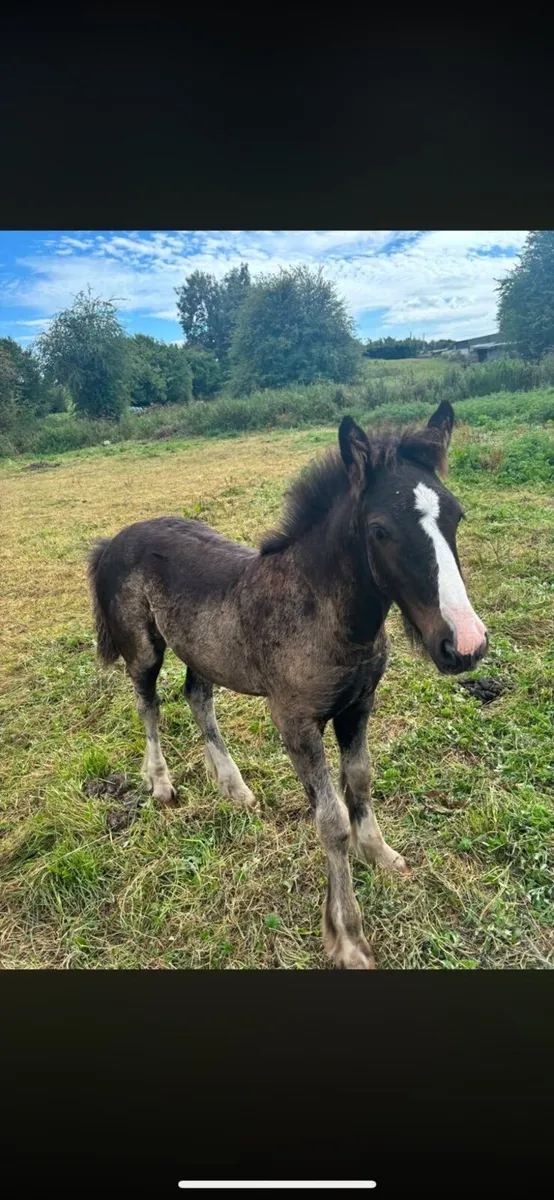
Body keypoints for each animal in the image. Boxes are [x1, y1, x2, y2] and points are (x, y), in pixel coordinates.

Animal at [88, 400, 488, 969]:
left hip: (203, 650)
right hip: (144, 650)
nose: (466, 643)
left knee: (197, 697)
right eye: (380, 530)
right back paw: (161, 784)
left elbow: (360, 780)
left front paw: (381, 854)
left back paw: (235, 787)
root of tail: (113, 540)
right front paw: (348, 937)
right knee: (148, 704)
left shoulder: (358, 705)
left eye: (455, 515)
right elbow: (331, 821)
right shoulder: (296, 723)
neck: (322, 611)